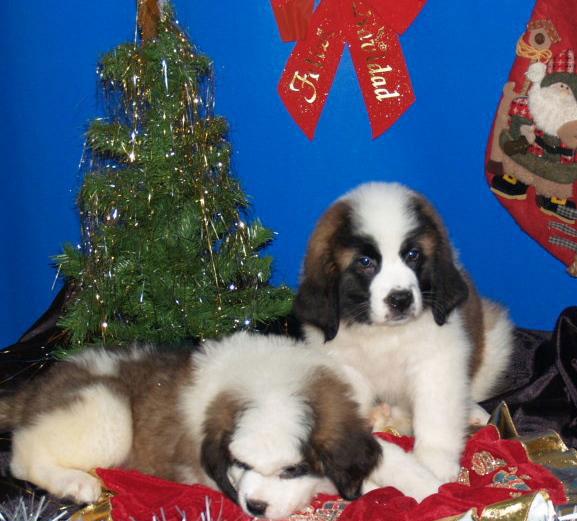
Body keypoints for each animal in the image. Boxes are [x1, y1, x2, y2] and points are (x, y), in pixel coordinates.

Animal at [0, 332, 438, 516]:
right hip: (106, 409)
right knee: (23, 455)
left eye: (292, 469)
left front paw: (431, 483)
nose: (255, 507)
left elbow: (385, 453)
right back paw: (75, 483)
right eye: (240, 464)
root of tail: (34, 389)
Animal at [292, 183, 512, 484]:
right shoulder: (343, 366)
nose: (401, 299)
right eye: (365, 262)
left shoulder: (438, 360)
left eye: (413, 255)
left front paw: (434, 465)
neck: (385, 335)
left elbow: (436, 414)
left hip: (496, 341)